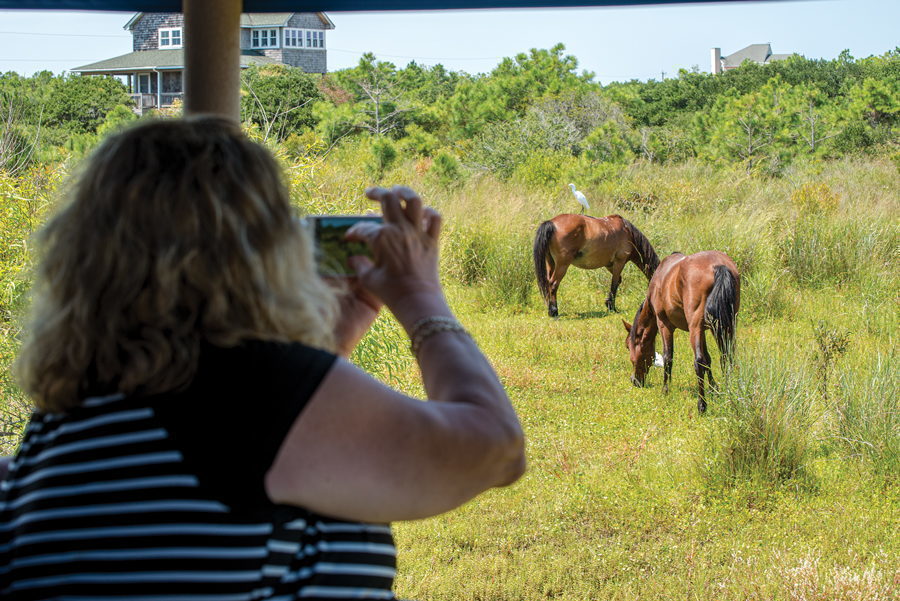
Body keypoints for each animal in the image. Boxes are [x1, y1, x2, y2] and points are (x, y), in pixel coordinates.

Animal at [624, 250, 740, 412]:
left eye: (628, 346)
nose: (634, 380)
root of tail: (718, 266)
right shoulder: (703, 330)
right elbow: (708, 359)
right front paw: (714, 389)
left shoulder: (664, 325)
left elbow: (668, 358)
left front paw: (665, 390)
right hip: (724, 326)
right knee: (726, 357)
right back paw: (728, 392)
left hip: (696, 326)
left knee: (698, 361)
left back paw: (702, 405)